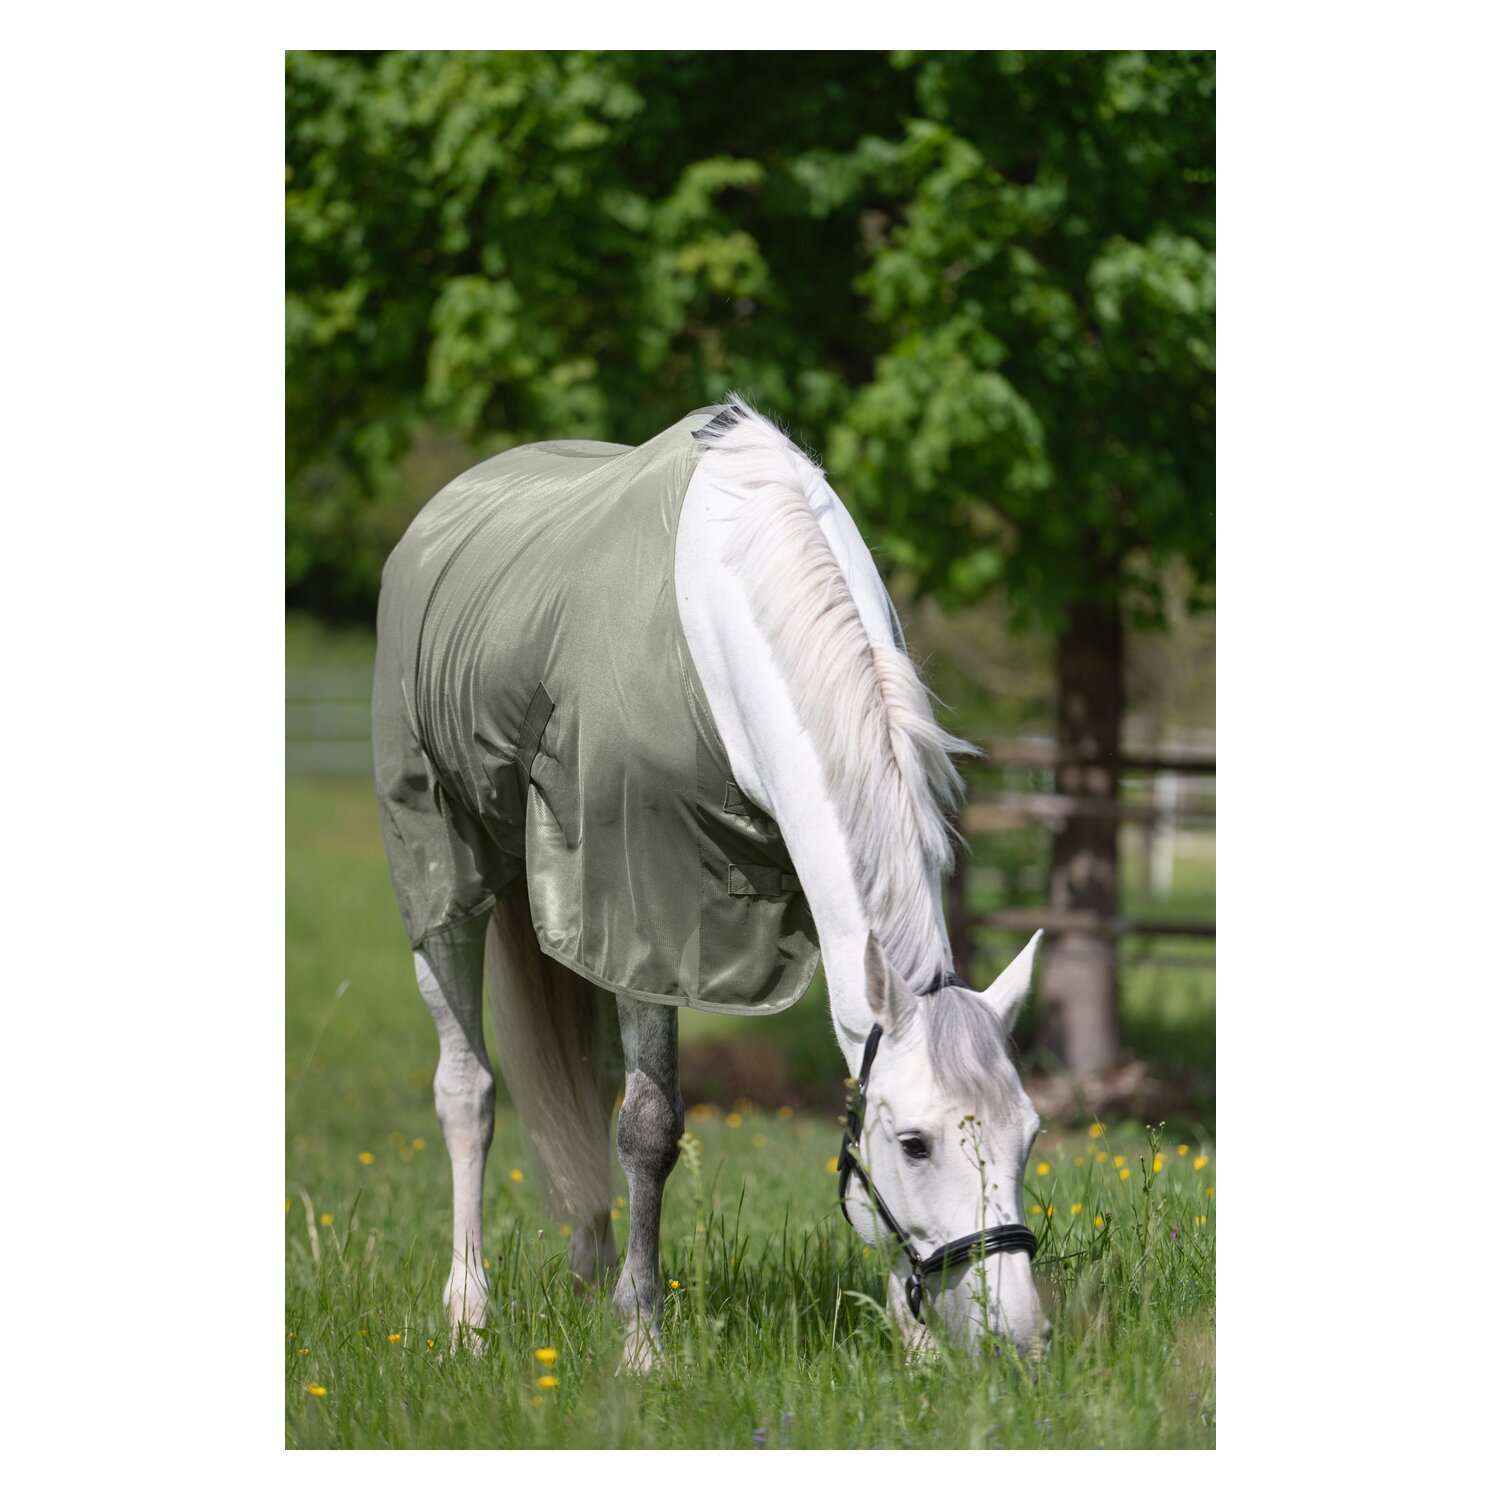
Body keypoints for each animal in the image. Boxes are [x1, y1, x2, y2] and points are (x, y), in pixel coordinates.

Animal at [372, 396, 1048, 1370]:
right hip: (443, 872)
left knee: (587, 1077)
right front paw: (643, 1344)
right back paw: (468, 1311)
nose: (1020, 1340)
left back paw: (587, 1273)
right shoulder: (644, 904)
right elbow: (650, 1127)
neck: (724, 618)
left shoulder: (634, 918)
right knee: (467, 1091)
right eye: (915, 1145)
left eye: (1028, 1133)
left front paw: (914, 1346)